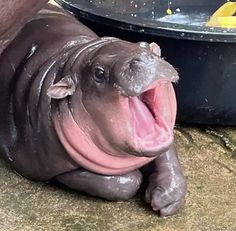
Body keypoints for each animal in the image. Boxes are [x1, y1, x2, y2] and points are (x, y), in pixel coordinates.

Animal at [0, 0, 186, 217]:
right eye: (98, 73)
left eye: (146, 46)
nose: (145, 58)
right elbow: (124, 183)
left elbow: (166, 152)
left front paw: (166, 197)